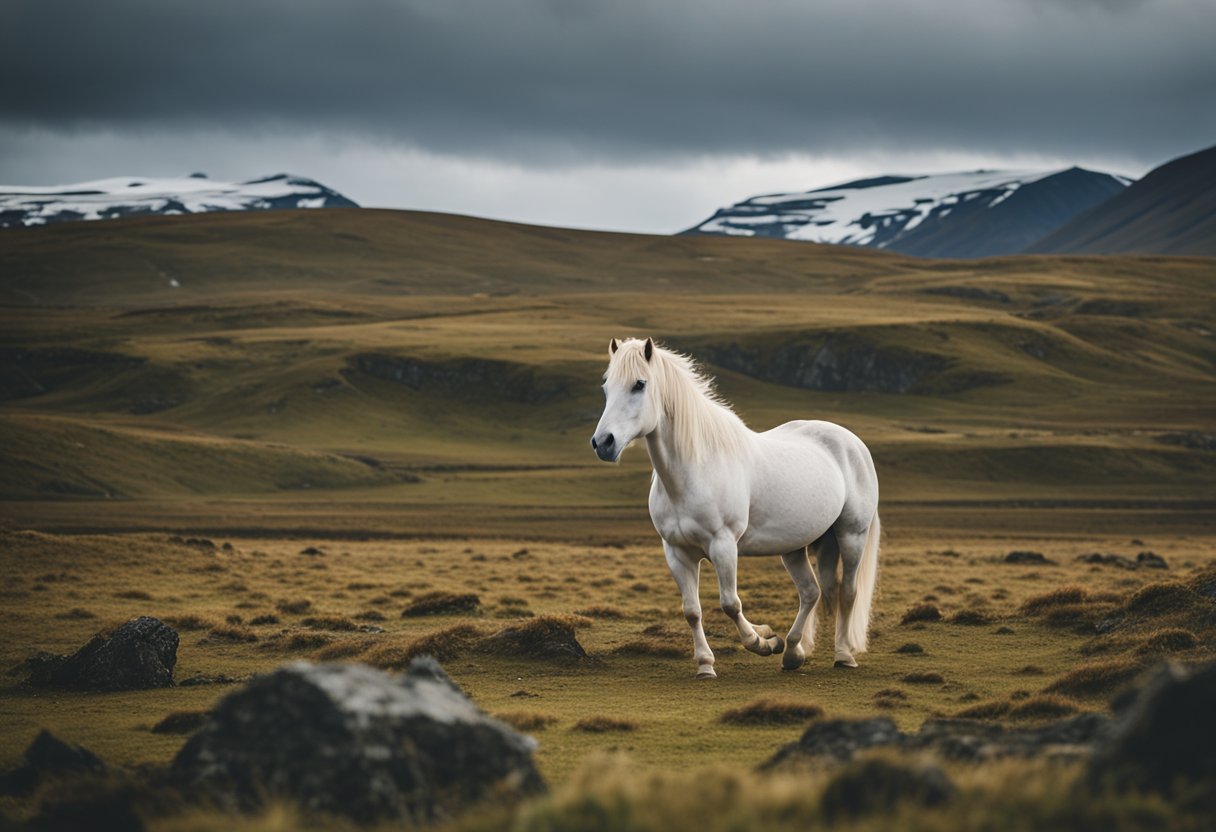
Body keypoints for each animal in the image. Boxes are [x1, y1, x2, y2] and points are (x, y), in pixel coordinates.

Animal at [590, 335, 885, 676]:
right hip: (794, 547)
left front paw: (762, 642)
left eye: (639, 384)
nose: (603, 443)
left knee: (847, 592)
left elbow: (731, 603)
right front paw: (706, 664)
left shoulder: (724, 545)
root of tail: (853, 442)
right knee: (812, 592)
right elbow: (691, 610)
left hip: (851, 535)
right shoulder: (677, 552)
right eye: (606, 386)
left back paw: (843, 654)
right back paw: (792, 652)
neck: (693, 471)